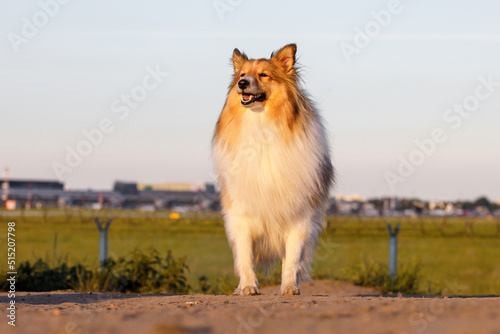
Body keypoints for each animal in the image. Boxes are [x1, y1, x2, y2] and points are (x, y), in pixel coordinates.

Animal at [211, 43, 332, 294]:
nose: (242, 83)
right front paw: (248, 287)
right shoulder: (241, 214)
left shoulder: (300, 216)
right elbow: (245, 256)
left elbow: (293, 257)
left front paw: (289, 287)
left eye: (263, 75)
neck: (261, 125)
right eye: (242, 74)